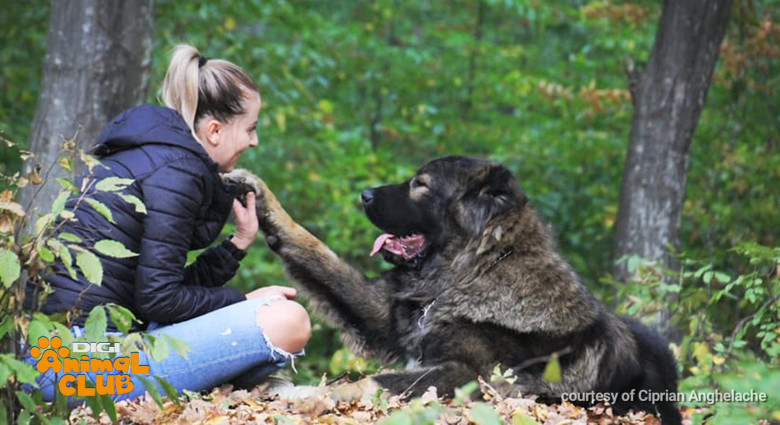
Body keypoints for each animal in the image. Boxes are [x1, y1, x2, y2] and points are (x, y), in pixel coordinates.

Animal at [227, 157, 684, 424]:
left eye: (421, 185)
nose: (365, 194)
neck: (467, 274)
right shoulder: (384, 317)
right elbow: (315, 249)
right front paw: (262, 199)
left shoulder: (473, 375)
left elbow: (375, 381)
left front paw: (309, 394)